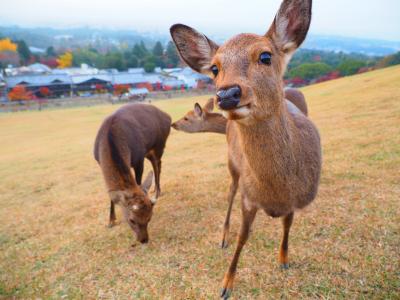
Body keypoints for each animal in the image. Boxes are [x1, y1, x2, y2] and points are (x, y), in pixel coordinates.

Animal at [94, 103, 171, 244]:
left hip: (159, 145)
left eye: (149, 218)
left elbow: (139, 183)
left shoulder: (138, 159)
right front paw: (111, 221)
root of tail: (167, 116)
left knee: (158, 165)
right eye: (132, 220)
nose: (144, 240)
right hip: (149, 150)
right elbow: (111, 193)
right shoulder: (99, 162)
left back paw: (157, 191)